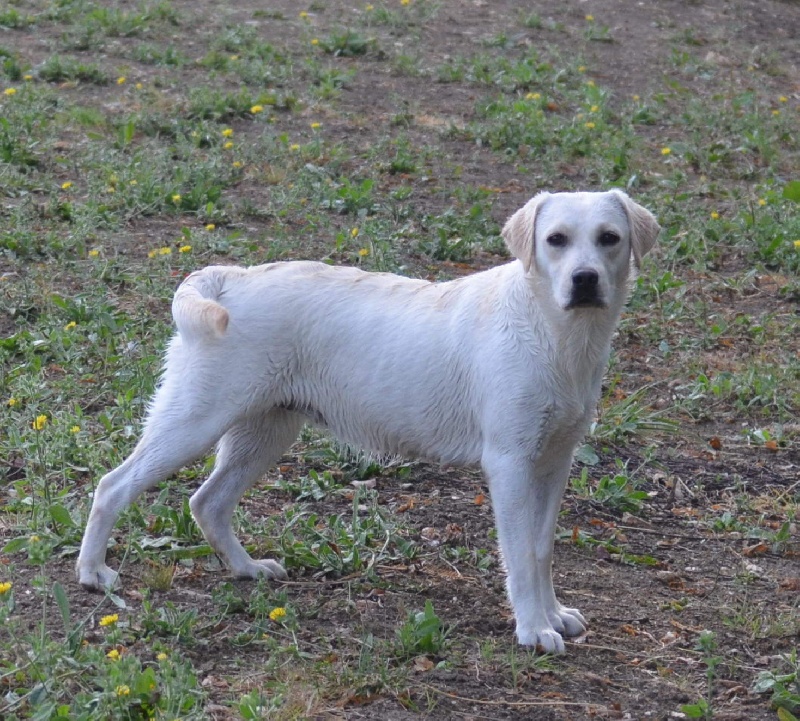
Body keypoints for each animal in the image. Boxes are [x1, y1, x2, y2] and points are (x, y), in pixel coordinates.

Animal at [78, 190, 660, 652]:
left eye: (609, 239)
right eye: (556, 240)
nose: (585, 280)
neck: (554, 335)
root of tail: (228, 280)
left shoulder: (554, 463)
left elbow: (540, 550)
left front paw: (553, 615)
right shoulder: (511, 464)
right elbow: (518, 556)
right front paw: (534, 630)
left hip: (264, 433)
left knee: (208, 502)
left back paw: (246, 569)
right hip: (194, 421)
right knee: (113, 486)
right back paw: (92, 573)